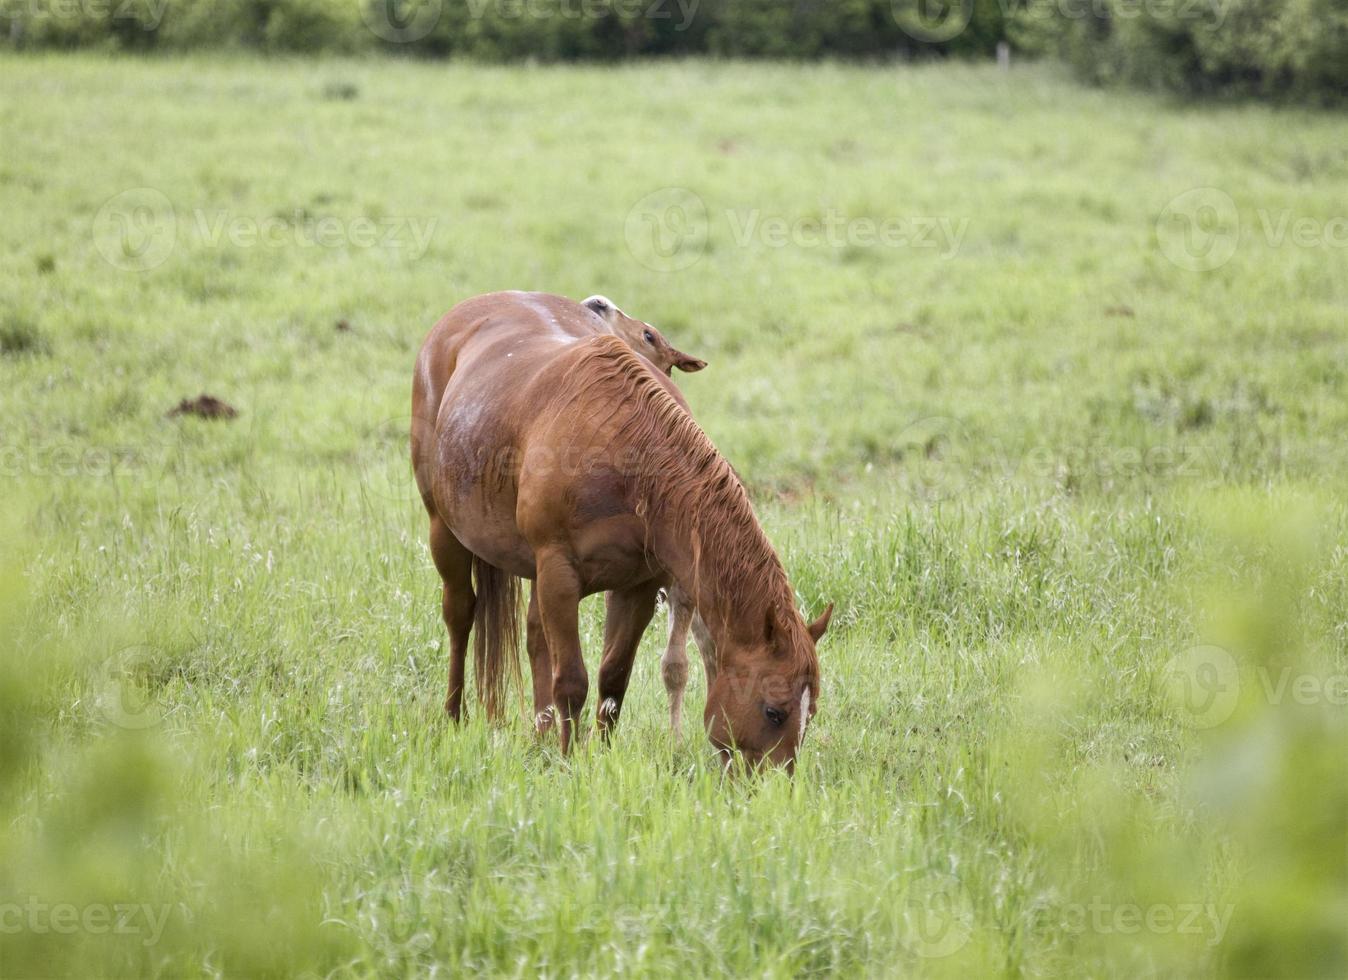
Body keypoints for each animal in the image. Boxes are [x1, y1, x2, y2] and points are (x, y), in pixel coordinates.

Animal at [409, 295, 830, 771]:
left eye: (811, 712)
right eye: (774, 712)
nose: (773, 782)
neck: (630, 455)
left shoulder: (638, 586)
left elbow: (614, 677)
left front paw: (599, 755)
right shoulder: (559, 574)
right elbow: (572, 679)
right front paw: (570, 761)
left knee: (534, 637)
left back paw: (539, 736)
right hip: (445, 531)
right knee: (461, 616)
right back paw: (455, 715)